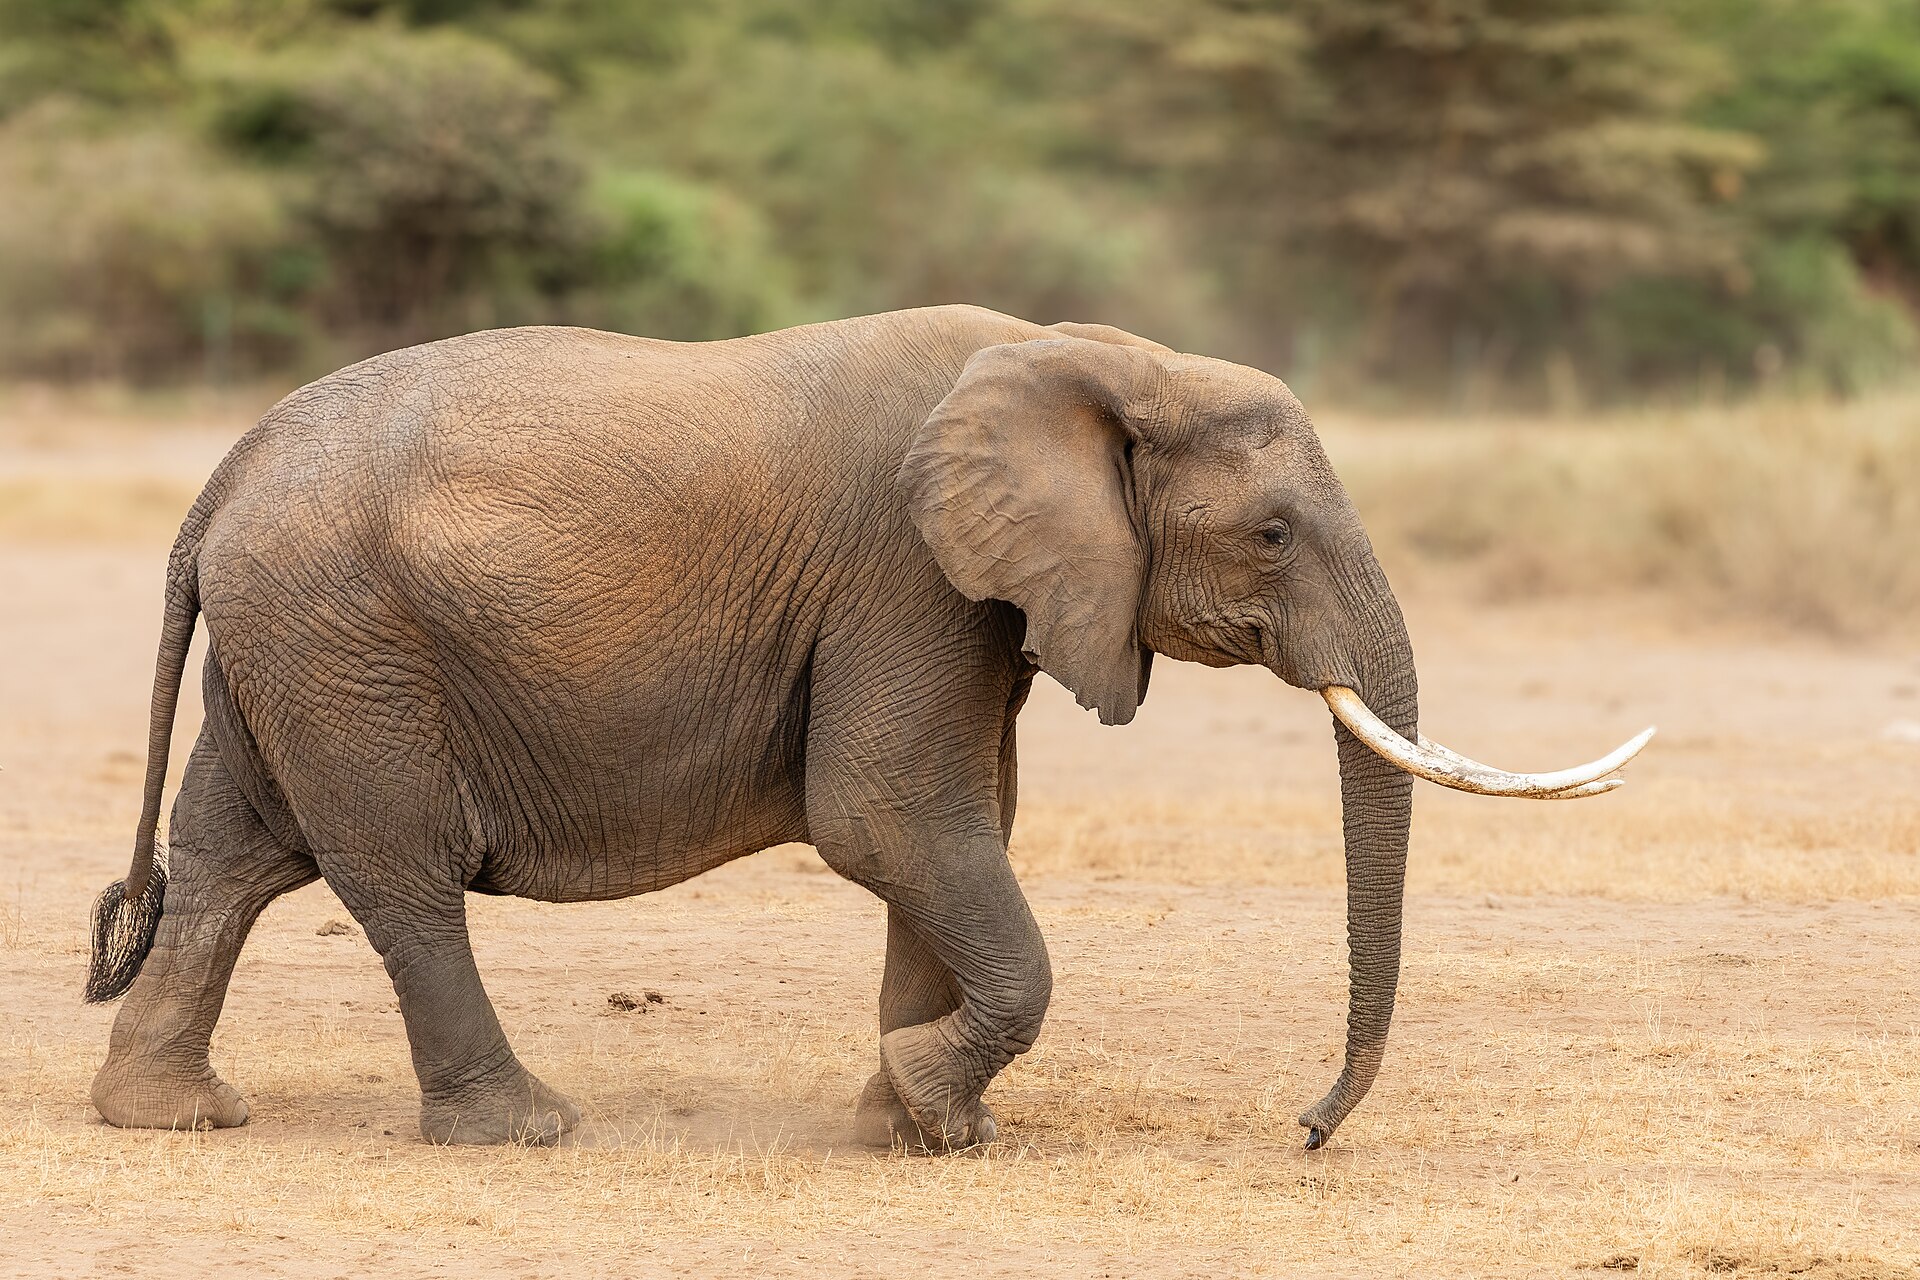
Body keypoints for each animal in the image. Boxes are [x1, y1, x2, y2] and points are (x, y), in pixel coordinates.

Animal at [84, 305, 1650, 1150]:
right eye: (1271, 533)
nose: (1307, 1132)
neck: (1097, 358)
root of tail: (223, 477)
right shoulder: (905, 574)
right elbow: (891, 817)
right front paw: (932, 1109)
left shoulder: (965, 600)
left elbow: (955, 826)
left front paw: (908, 1127)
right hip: (349, 641)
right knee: (398, 874)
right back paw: (528, 1127)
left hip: (295, 642)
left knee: (233, 855)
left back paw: (172, 1113)